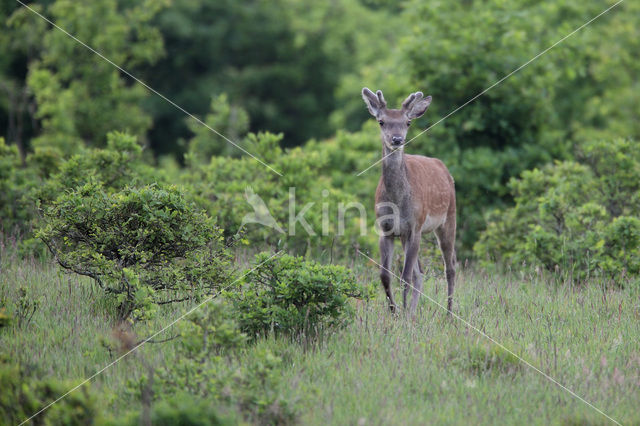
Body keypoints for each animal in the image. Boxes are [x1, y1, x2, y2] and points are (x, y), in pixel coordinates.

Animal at [362, 87, 458, 312]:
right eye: (381, 121)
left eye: (407, 122)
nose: (397, 139)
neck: (397, 202)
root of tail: (444, 168)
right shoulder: (386, 229)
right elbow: (385, 275)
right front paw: (395, 311)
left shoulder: (415, 226)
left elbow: (404, 277)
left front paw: (402, 312)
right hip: (406, 235)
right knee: (420, 273)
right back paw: (413, 311)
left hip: (449, 218)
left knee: (449, 268)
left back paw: (449, 313)